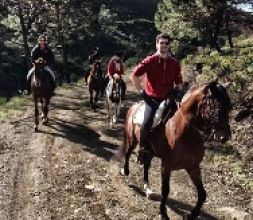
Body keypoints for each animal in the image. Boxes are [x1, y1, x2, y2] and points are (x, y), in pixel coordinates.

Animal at [116, 81, 231, 220]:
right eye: (215, 106)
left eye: (229, 106)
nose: (224, 136)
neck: (185, 131)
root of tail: (134, 106)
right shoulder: (167, 166)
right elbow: (165, 190)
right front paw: (163, 213)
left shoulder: (193, 167)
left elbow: (202, 194)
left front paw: (192, 215)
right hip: (132, 139)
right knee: (128, 153)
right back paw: (125, 171)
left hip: (151, 152)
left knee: (146, 166)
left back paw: (148, 189)